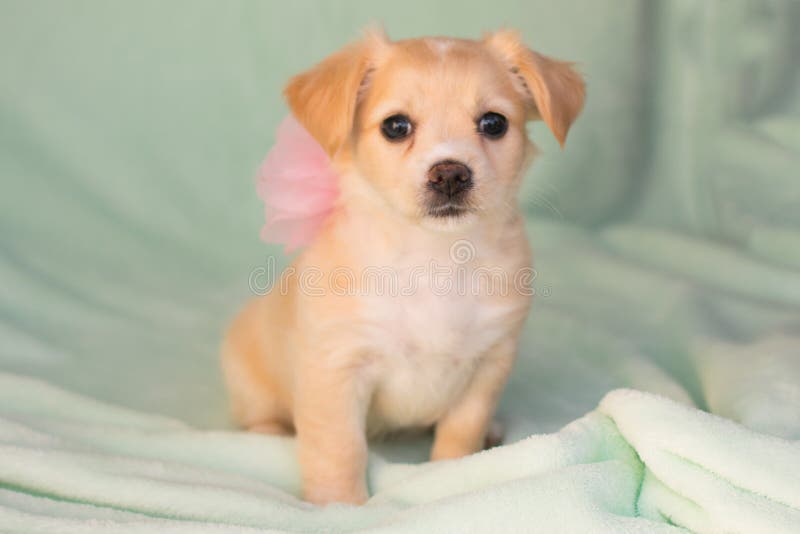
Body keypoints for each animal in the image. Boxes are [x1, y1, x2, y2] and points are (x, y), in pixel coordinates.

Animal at [222, 29, 584, 506]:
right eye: (396, 127)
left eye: (493, 123)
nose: (450, 174)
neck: (434, 258)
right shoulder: (336, 372)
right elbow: (339, 449)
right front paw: (339, 507)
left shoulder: (488, 365)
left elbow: (459, 434)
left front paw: (450, 475)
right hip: (252, 383)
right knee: (262, 418)